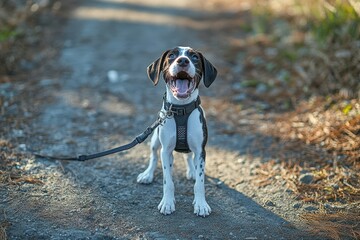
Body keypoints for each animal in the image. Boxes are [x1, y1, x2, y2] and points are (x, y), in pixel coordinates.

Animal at [137, 46, 217, 217]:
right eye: (172, 55)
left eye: (194, 57)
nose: (183, 61)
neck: (181, 109)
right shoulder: (166, 151)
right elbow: (168, 181)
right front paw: (167, 203)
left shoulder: (201, 151)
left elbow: (200, 182)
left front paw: (201, 204)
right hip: (154, 139)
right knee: (154, 156)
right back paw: (147, 174)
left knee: (188, 157)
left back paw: (192, 171)